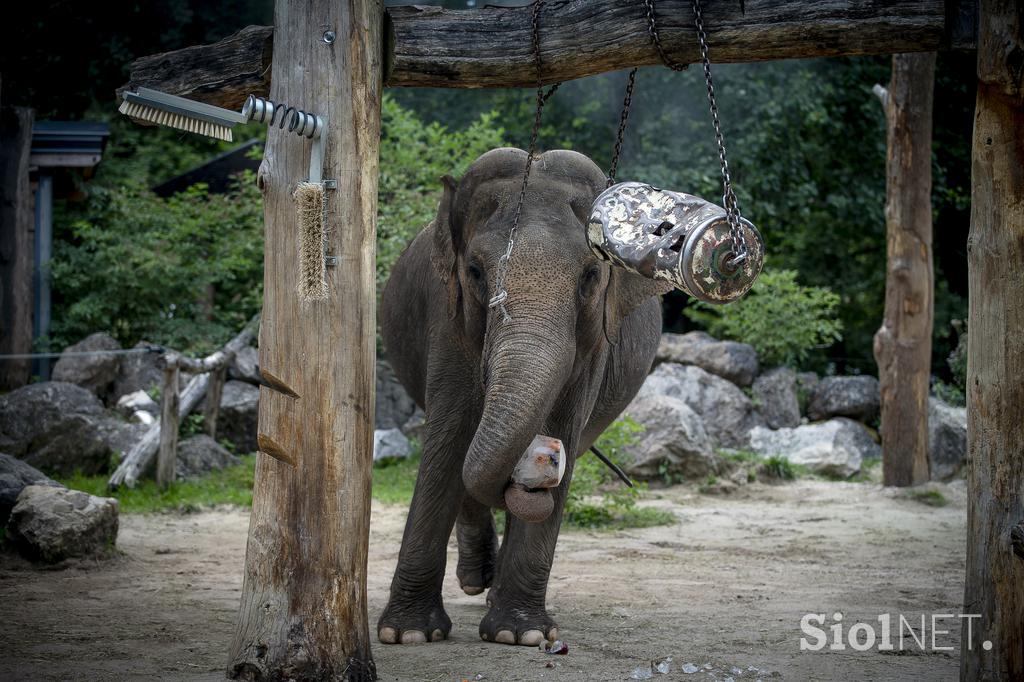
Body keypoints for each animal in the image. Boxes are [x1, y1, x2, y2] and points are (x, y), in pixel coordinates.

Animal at [378, 146, 671, 647]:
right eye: (475, 271)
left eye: (591, 275)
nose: (540, 462)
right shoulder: (449, 319)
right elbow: (449, 439)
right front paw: (407, 635)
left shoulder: (594, 342)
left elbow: (563, 428)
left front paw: (523, 636)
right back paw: (476, 582)